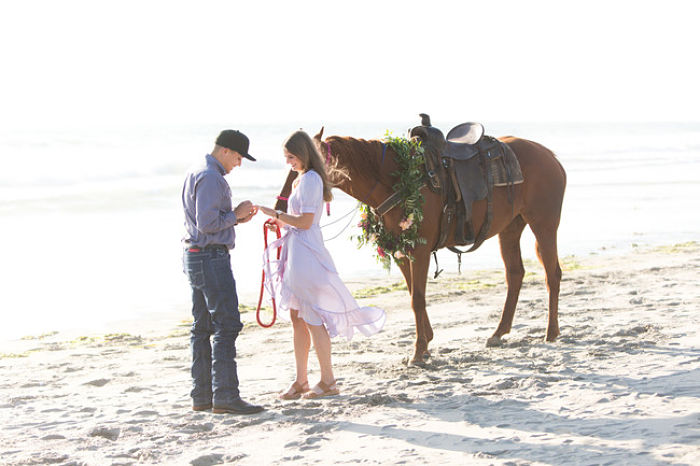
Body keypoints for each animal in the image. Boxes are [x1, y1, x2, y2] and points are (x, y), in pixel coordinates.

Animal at [276, 126, 568, 364]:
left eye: (300, 164)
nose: (281, 204)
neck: (395, 178)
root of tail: (550, 156)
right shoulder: (400, 251)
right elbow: (413, 295)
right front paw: (426, 343)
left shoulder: (420, 250)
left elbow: (417, 298)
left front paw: (418, 352)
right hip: (509, 229)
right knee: (515, 274)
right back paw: (499, 332)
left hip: (544, 224)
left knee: (552, 274)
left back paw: (551, 332)